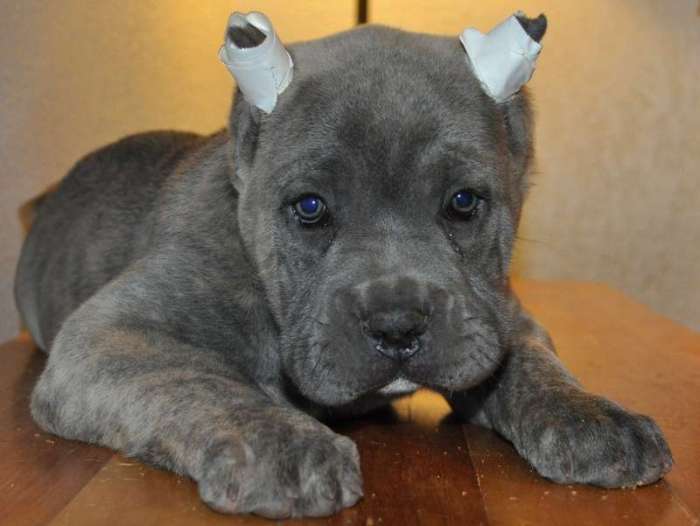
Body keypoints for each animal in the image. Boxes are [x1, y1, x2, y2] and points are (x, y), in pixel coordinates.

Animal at [15, 12, 672, 520]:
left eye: (463, 202)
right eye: (310, 208)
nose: (398, 326)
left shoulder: (500, 319)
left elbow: (532, 366)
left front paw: (591, 413)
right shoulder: (108, 334)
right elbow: (197, 380)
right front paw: (281, 443)